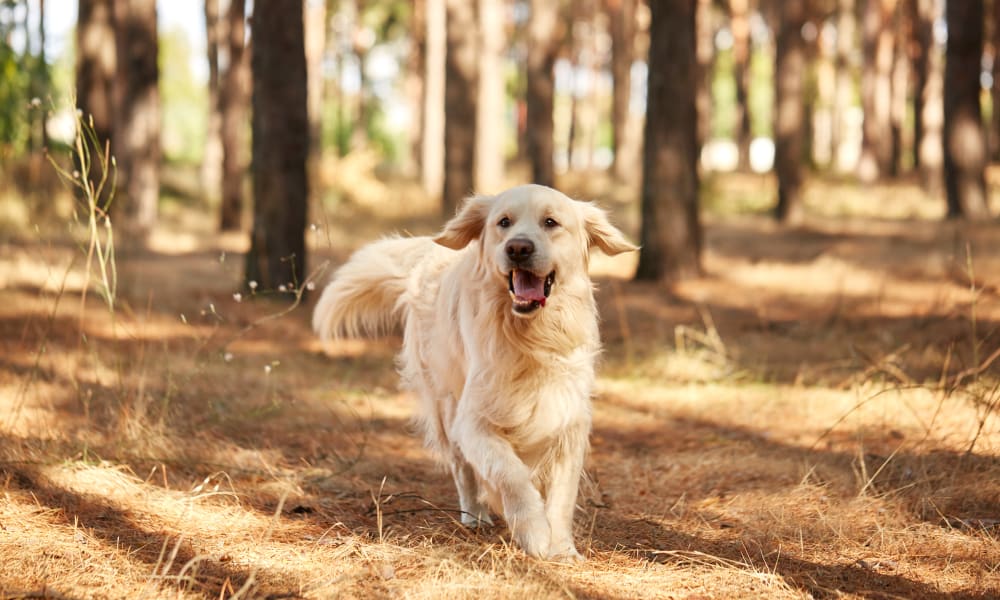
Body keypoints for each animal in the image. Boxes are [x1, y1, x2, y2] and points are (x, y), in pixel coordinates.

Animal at [314, 185, 632, 560]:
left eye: (551, 222)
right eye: (503, 222)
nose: (518, 248)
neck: (530, 337)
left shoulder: (568, 420)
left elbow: (561, 496)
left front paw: (562, 548)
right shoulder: (474, 421)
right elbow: (510, 474)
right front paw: (535, 532)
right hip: (445, 405)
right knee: (462, 468)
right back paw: (474, 515)